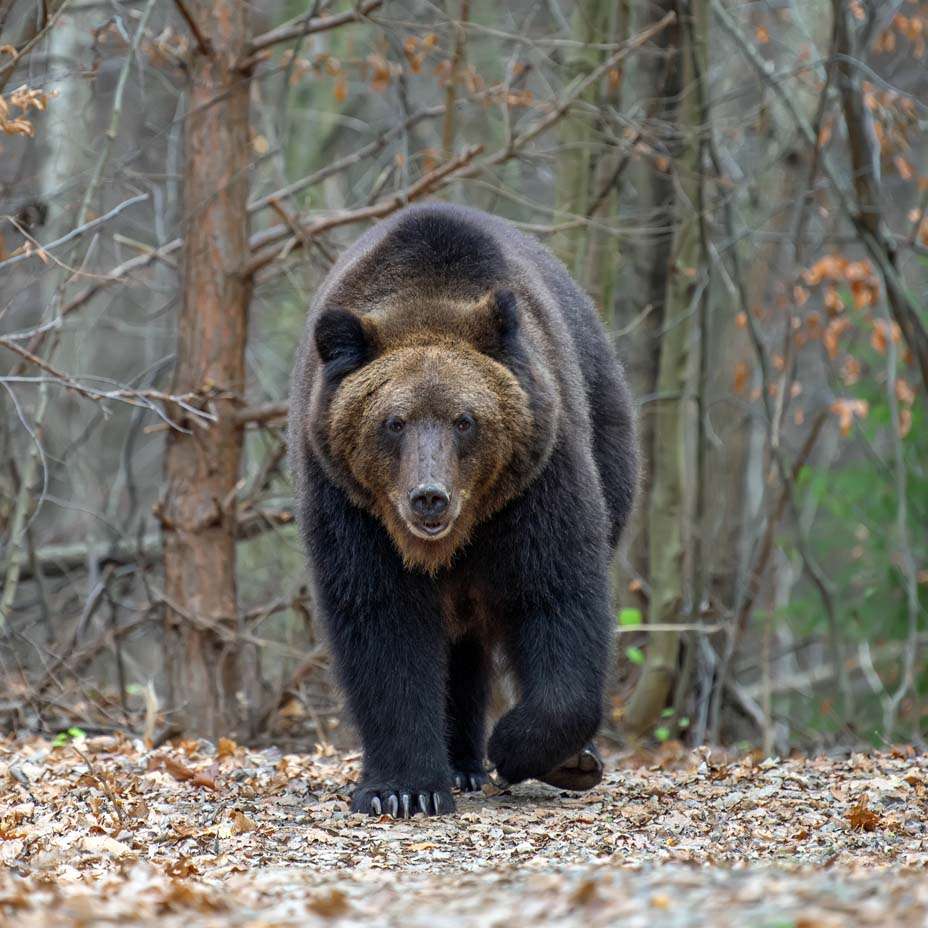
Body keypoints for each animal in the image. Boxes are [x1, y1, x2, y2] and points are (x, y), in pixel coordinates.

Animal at [289, 202, 637, 818]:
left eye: (464, 420)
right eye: (393, 421)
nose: (429, 496)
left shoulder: (536, 485)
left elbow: (559, 592)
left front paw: (538, 751)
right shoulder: (351, 509)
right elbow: (382, 622)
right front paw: (404, 789)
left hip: (606, 428)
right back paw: (457, 764)